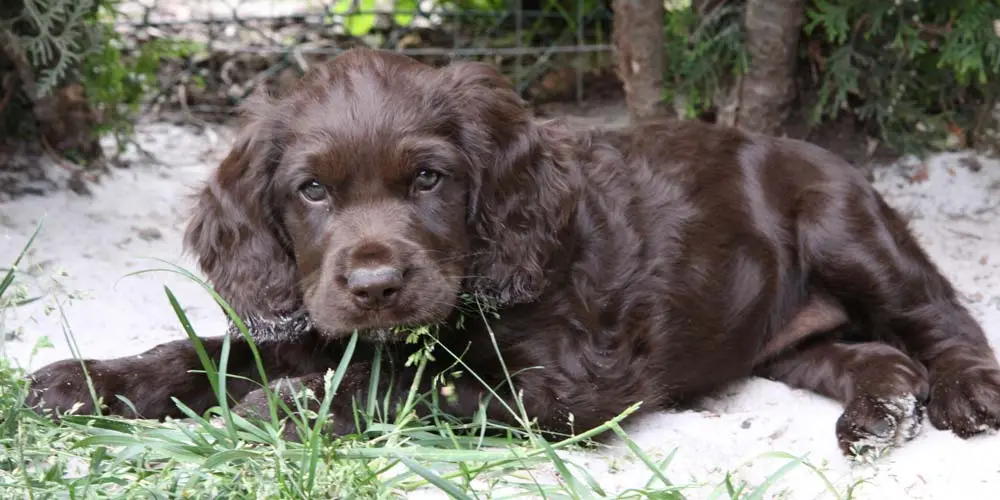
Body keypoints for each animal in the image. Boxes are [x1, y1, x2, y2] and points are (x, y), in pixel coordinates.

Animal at [25, 48, 1000, 456]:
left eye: (427, 179)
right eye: (312, 192)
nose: (375, 283)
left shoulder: (570, 385)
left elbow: (414, 388)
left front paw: (298, 405)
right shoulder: (312, 313)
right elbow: (206, 350)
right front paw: (89, 381)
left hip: (845, 228)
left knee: (939, 321)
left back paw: (963, 392)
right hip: (781, 337)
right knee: (875, 355)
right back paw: (878, 413)